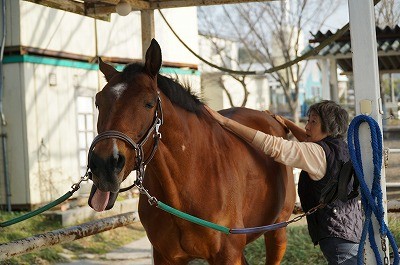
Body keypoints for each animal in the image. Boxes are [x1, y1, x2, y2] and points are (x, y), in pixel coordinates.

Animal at [88, 39, 294, 264]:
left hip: (277, 232)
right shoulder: (165, 256)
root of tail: (272, 117)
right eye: (98, 102)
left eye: (149, 103)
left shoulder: (228, 255)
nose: (104, 164)